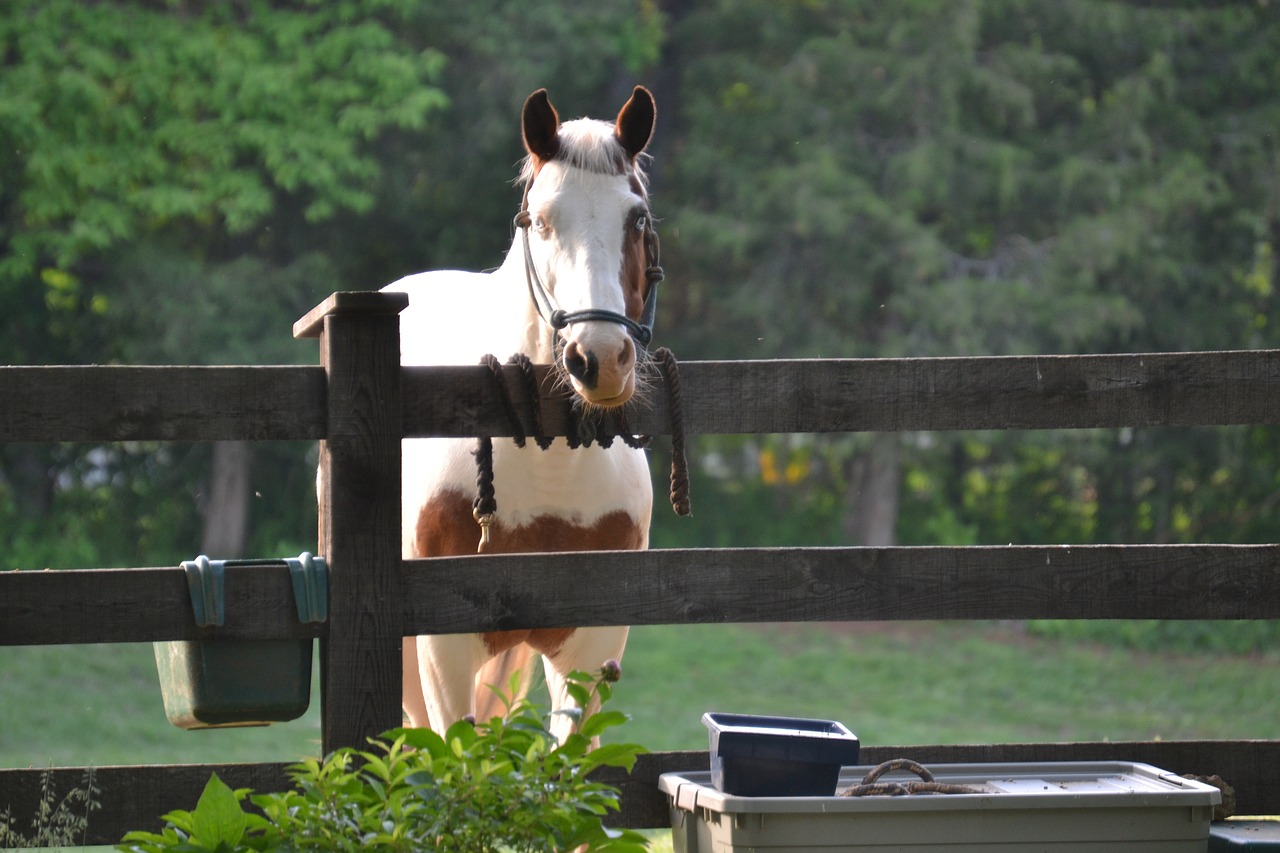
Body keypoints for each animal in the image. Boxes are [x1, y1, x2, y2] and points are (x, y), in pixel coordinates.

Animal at [381, 86, 660, 737]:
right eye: (542, 221)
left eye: (635, 218)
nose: (599, 358)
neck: (548, 470)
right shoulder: (442, 653)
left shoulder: (592, 647)